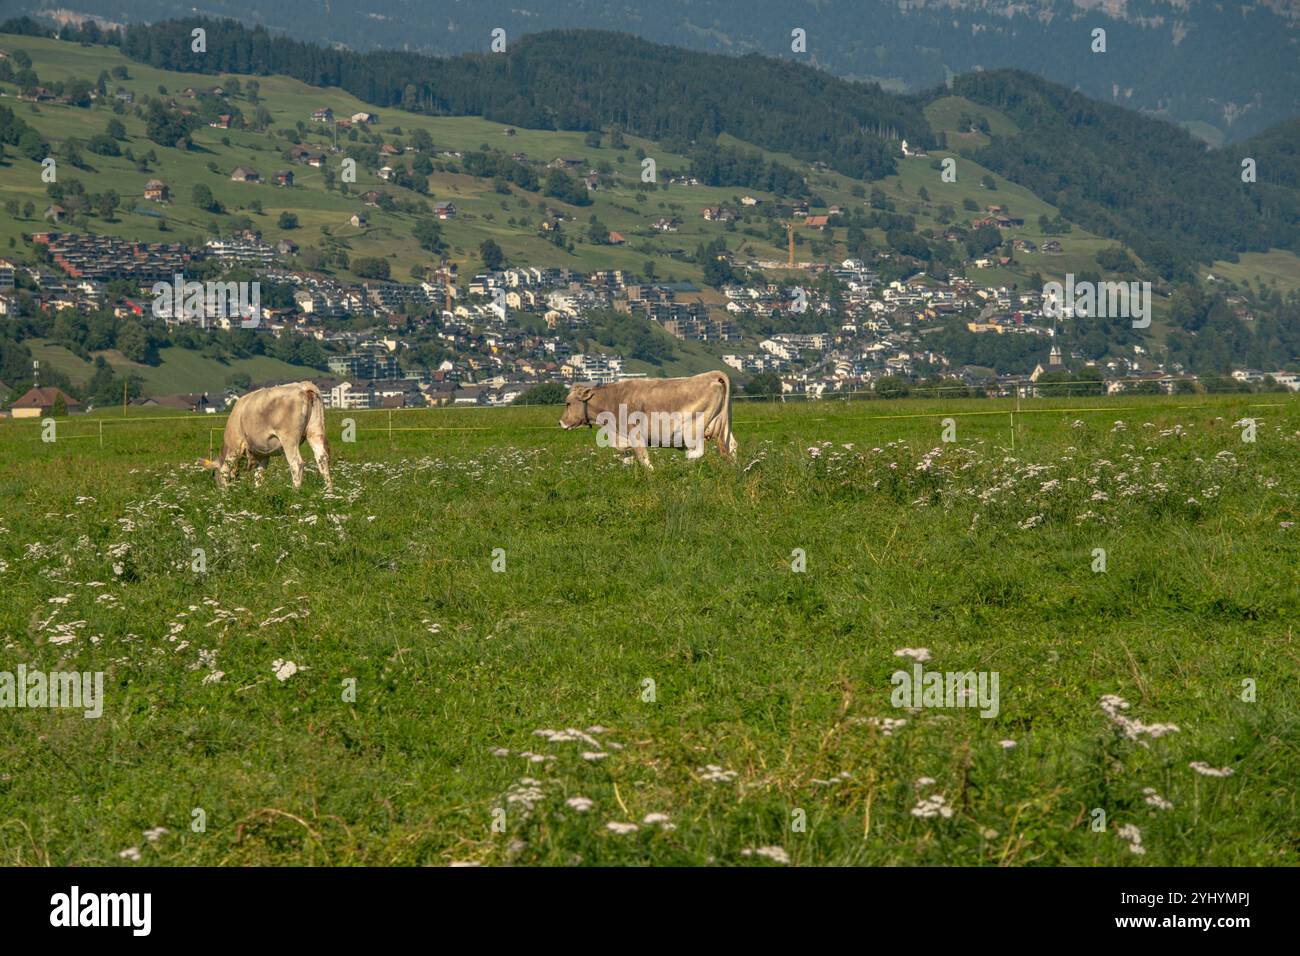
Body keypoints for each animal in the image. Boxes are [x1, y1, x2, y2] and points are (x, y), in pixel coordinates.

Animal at [202, 381, 332, 492]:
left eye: (215, 476)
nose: (219, 490)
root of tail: (303, 385)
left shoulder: (234, 447)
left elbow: (225, 470)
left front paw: (225, 493)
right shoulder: (264, 454)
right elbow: (259, 475)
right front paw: (257, 492)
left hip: (289, 439)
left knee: (296, 464)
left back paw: (295, 492)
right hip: (315, 431)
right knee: (322, 459)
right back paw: (329, 493)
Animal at [559, 371, 737, 470]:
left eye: (568, 403)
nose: (560, 423)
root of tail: (711, 375)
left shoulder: (635, 435)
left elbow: (643, 458)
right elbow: (625, 456)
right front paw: (629, 461)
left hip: (693, 428)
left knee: (697, 451)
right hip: (723, 426)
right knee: (732, 446)